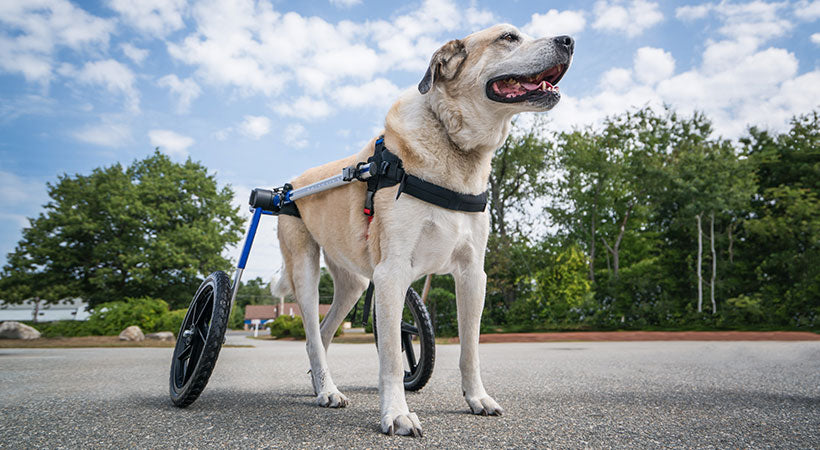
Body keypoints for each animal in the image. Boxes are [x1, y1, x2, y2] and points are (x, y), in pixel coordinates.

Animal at [272, 23, 572, 436]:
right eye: (508, 37)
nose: (569, 41)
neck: (454, 143)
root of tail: (290, 186)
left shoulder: (472, 274)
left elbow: (470, 348)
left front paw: (477, 398)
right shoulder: (392, 272)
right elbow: (392, 359)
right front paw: (397, 414)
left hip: (354, 284)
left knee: (325, 330)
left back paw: (322, 386)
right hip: (304, 269)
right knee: (314, 335)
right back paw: (328, 390)